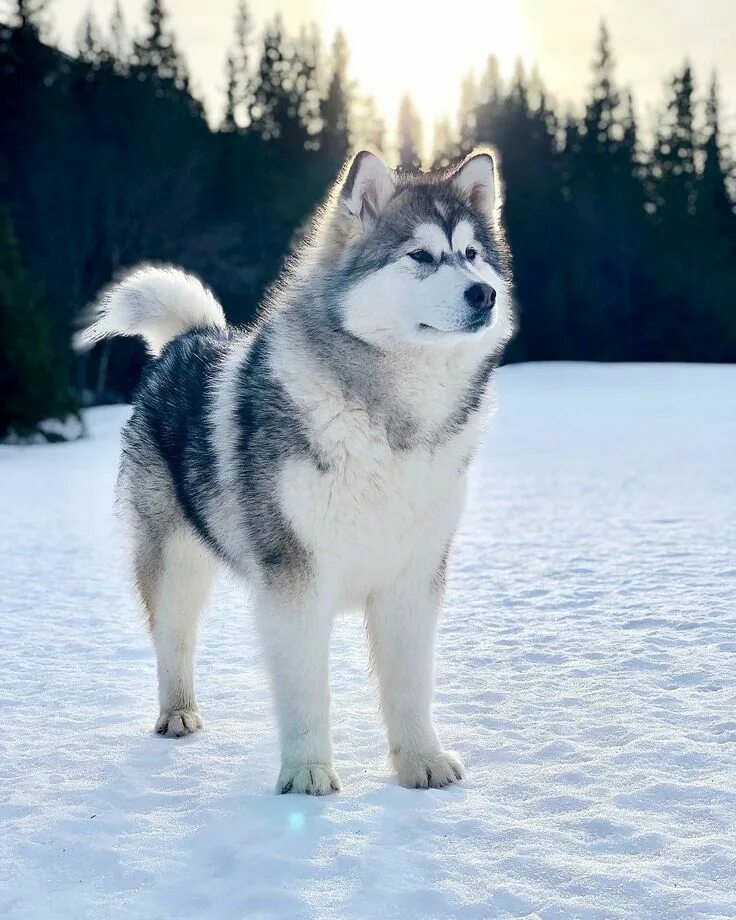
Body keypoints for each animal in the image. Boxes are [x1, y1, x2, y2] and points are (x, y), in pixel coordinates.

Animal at [73, 149, 512, 792]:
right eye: (421, 256)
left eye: (473, 253)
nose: (484, 294)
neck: (390, 421)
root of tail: (190, 340)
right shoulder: (295, 577)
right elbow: (307, 689)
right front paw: (307, 773)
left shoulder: (414, 575)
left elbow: (410, 684)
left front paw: (420, 761)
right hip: (175, 561)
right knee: (173, 639)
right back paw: (177, 713)